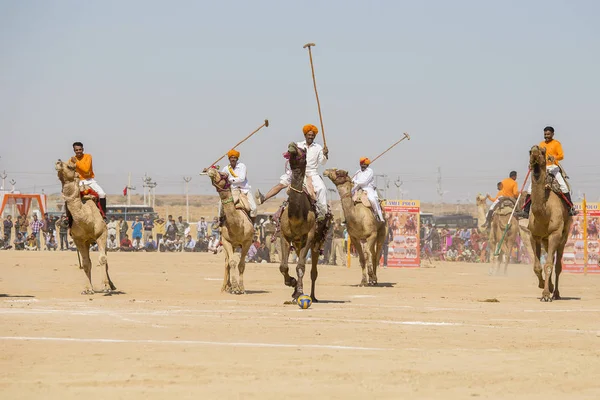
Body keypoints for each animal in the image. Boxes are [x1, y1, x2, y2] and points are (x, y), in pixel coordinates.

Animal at [54, 159, 115, 294]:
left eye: (70, 166)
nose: (58, 162)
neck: (87, 220)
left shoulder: (102, 234)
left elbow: (102, 259)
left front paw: (106, 286)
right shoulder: (79, 240)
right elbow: (86, 263)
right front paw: (88, 289)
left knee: (106, 260)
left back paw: (112, 285)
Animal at [206, 166, 253, 294]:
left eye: (223, 175)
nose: (210, 170)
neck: (238, 225)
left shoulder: (247, 242)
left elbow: (241, 264)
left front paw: (241, 288)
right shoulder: (226, 241)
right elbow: (231, 262)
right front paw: (235, 287)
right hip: (227, 244)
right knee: (227, 262)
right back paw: (225, 287)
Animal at [278, 142, 330, 302]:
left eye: (304, 152)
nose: (292, 146)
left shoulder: (309, 236)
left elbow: (301, 266)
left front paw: (299, 291)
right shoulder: (285, 236)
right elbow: (284, 266)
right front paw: (292, 283)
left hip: (317, 242)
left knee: (313, 271)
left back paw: (312, 296)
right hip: (297, 243)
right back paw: (296, 293)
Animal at [528, 145, 572, 302]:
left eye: (543, 152)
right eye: (530, 151)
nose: (535, 151)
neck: (544, 213)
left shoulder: (555, 234)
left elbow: (548, 265)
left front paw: (546, 295)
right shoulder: (534, 235)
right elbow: (537, 266)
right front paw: (543, 286)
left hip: (563, 236)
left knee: (557, 265)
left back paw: (556, 293)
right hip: (546, 240)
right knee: (551, 258)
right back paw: (552, 288)